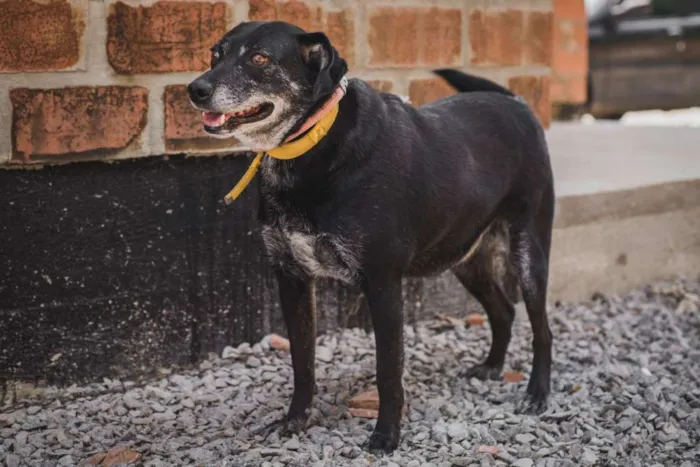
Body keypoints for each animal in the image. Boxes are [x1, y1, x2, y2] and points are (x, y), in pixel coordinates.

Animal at [187, 21, 556, 454]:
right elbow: (302, 362)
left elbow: (387, 370)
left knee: (542, 328)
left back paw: (537, 393)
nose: (195, 89)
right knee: (503, 311)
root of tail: (516, 102)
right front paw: (295, 420)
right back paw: (493, 366)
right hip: (466, 259)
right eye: (215, 54)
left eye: (260, 58)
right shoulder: (292, 279)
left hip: (529, 253)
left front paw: (386, 435)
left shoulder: (382, 284)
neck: (313, 146)